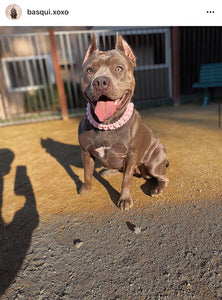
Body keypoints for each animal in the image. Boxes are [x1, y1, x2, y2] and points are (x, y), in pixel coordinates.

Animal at [78, 32, 168, 210]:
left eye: (118, 68)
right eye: (89, 70)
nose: (100, 81)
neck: (106, 125)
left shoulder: (131, 155)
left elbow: (126, 180)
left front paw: (125, 199)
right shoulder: (85, 152)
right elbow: (87, 174)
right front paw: (86, 189)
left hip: (153, 164)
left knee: (161, 177)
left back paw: (157, 188)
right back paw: (109, 171)